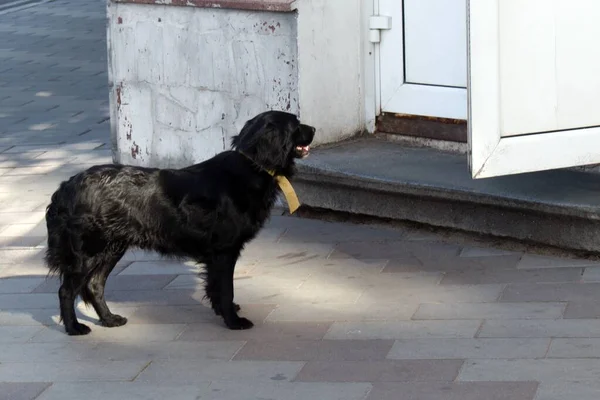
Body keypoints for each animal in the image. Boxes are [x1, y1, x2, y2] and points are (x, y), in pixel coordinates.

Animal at [44, 111, 316, 336]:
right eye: (296, 124)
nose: (314, 128)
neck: (251, 165)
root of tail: (65, 188)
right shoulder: (224, 251)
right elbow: (225, 288)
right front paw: (233, 321)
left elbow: (216, 288)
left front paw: (223, 311)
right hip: (89, 251)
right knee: (67, 290)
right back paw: (74, 328)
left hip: (111, 248)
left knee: (94, 284)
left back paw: (109, 319)